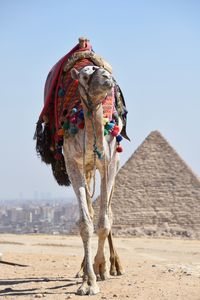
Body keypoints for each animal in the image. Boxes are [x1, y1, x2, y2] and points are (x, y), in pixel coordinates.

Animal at [35, 38, 129, 296]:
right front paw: (88, 282)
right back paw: (83, 270)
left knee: (109, 211)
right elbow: (85, 223)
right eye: (85, 76)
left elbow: (104, 220)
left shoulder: (109, 163)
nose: (106, 77)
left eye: (101, 71)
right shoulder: (72, 163)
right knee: (91, 207)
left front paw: (100, 268)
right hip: (85, 169)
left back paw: (114, 266)